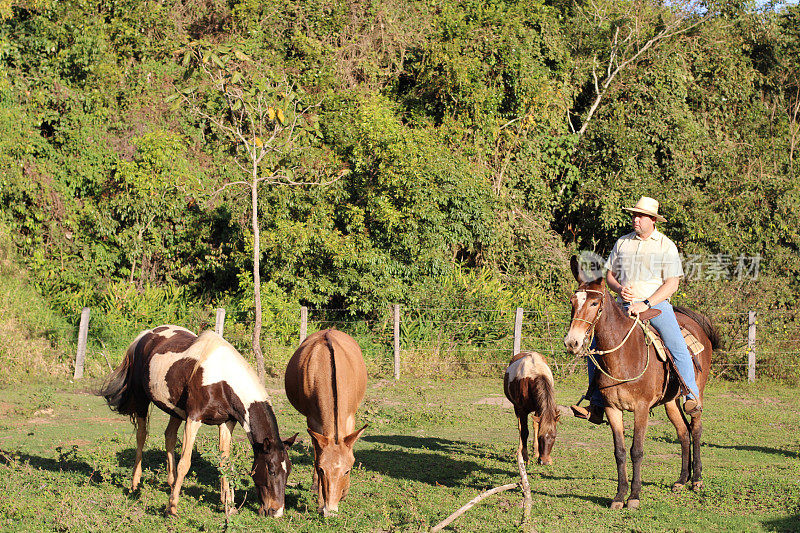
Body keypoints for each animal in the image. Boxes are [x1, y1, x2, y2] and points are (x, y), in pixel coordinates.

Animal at [99, 324, 296, 516]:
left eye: (288, 471)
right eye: (271, 470)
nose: (276, 511)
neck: (222, 380)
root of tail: (145, 335)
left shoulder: (227, 423)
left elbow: (224, 461)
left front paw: (228, 504)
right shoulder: (193, 419)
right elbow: (185, 463)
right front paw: (172, 507)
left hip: (175, 411)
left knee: (169, 436)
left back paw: (171, 482)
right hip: (142, 400)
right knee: (141, 436)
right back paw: (135, 484)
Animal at [282, 328, 368, 516]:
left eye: (347, 470)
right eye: (321, 469)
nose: (331, 510)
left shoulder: (350, 418)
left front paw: (345, 492)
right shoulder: (312, 420)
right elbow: (316, 453)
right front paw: (320, 501)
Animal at [564, 256, 720, 510]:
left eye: (595, 303)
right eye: (573, 301)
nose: (572, 342)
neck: (624, 356)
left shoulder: (641, 408)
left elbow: (636, 450)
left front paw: (634, 496)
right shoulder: (612, 409)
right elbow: (619, 451)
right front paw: (619, 496)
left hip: (697, 393)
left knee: (695, 429)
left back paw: (696, 480)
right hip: (671, 402)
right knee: (683, 432)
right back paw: (681, 480)